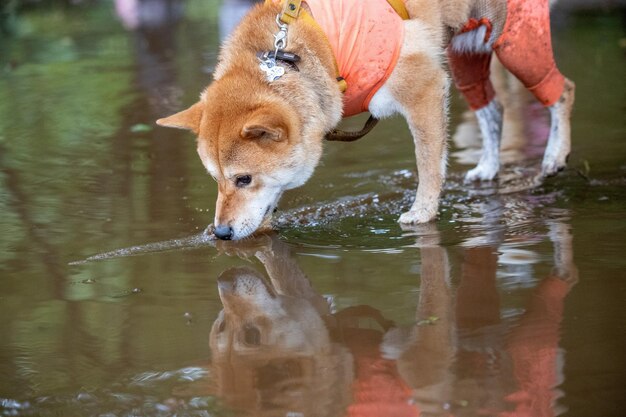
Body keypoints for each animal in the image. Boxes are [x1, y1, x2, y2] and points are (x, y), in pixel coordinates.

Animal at [156, 0, 572, 239]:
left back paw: (555, 155)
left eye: (244, 179)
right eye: (216, 179)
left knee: (562, 90)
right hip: (468, 52)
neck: (290, 58)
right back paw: (488, 166)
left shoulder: (424, 88)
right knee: (493, 109)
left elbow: (428, 164)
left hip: (515, 42)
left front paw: (423, 212)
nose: (220, 233)